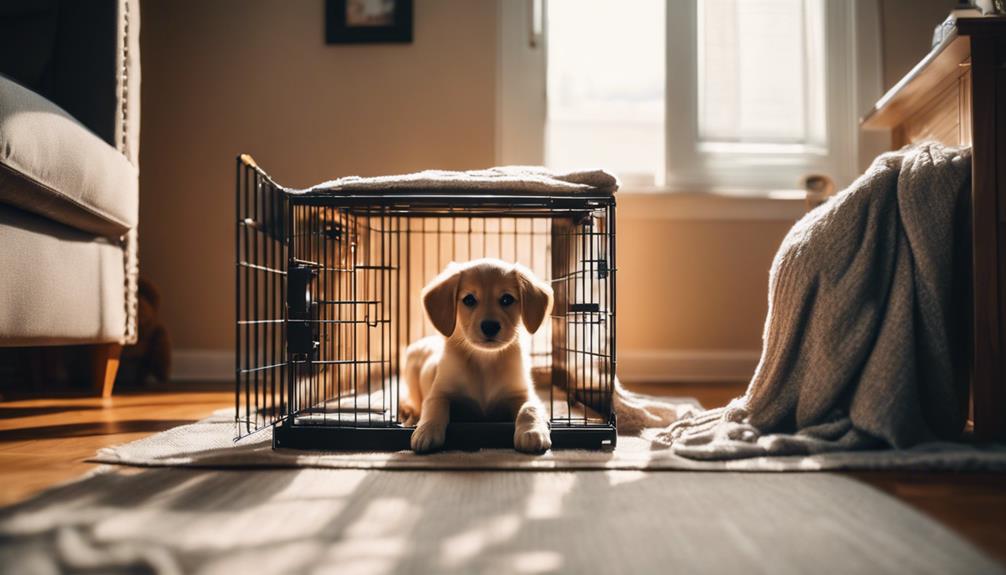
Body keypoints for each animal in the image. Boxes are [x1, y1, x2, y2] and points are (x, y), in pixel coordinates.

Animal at [402, 259, 559, 454]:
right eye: (469, 299)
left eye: (507, 299)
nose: (490, 326)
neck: (485, 361)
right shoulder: (439, 392)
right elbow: (434, 407)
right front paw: (426, 430)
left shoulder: (523, 393)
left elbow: (529, 408)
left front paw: (532, 432)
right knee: (413, 405)